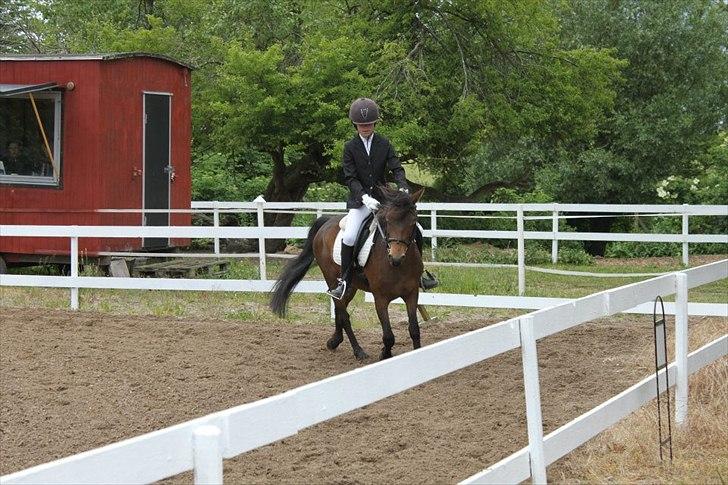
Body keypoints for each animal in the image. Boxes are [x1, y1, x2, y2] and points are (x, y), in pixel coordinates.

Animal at [270, 185, 424, 360]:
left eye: (413, 222)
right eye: (387, 221)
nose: (396, 257)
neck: (396, 266)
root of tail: (327, 222)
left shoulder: (412, 294)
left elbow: (414, 331)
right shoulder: (380, 299)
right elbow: (388, 336)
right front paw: (385, 354)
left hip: (351, 286)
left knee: (340, 309)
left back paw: (334, 341)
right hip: (331, 278)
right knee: (343, 314)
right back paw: (358, 351)